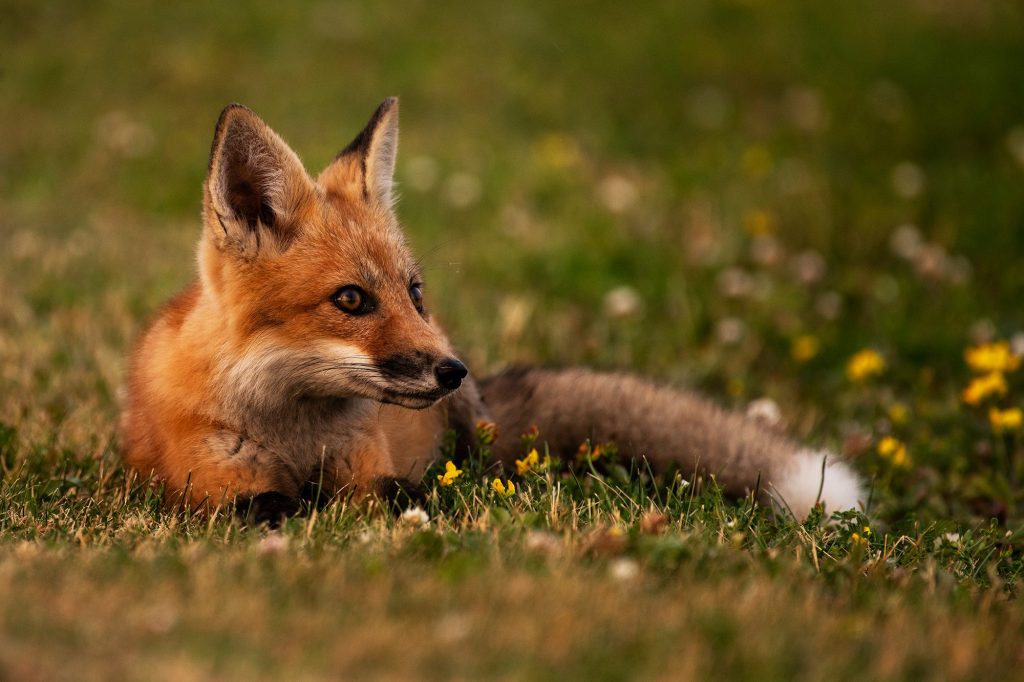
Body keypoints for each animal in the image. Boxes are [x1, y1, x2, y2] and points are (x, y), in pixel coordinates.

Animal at [119, 96, 864, 520]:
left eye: (415, 292)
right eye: (351, 299)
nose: (453, 369)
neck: (296, 431)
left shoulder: (368, 470)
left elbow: (392, 495)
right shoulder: (211, 488)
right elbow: (268, 507)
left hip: (475, 429)